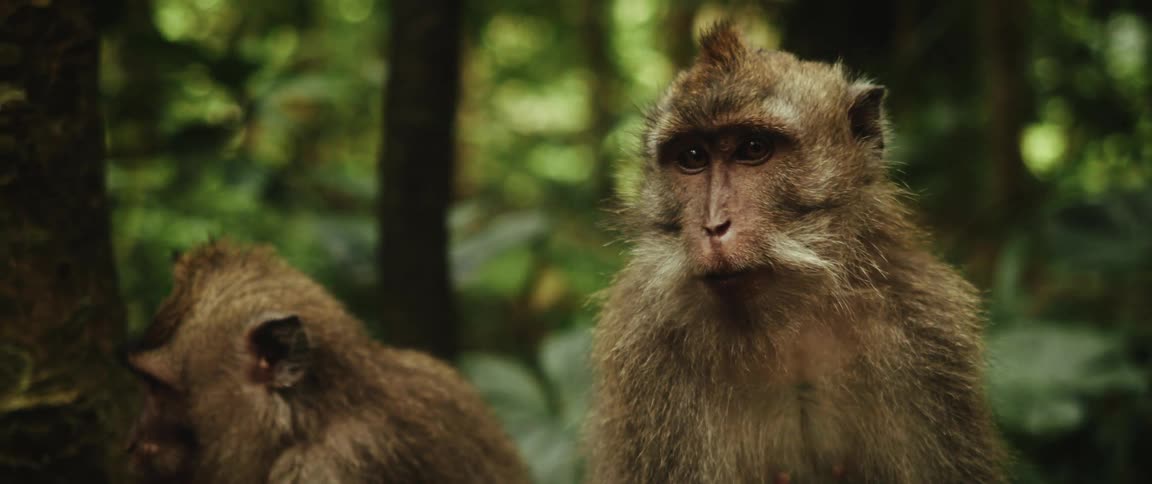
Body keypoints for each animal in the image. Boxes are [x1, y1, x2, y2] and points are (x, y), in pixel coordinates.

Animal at [585, 24, 1009, 484]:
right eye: (693, 157)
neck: (781, 322)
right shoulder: (643, 349)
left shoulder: (928, 333)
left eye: (753, 149)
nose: (714, 226)